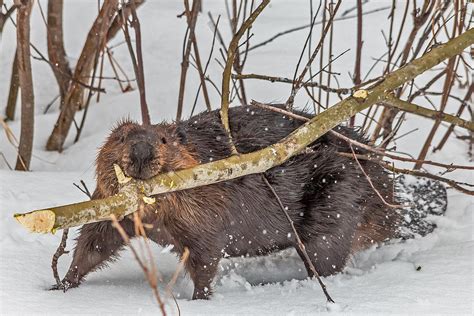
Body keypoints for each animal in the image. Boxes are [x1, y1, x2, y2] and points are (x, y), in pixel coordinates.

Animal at [53, 105, 400, 298]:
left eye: (163, 140)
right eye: (122, 137)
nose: (141, 151)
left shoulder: (205, 209)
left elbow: (205, 253)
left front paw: (200, 298)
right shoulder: (108, 204)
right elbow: (96, 240)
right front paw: (62, 285)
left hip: (337, 200)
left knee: (327, 255)